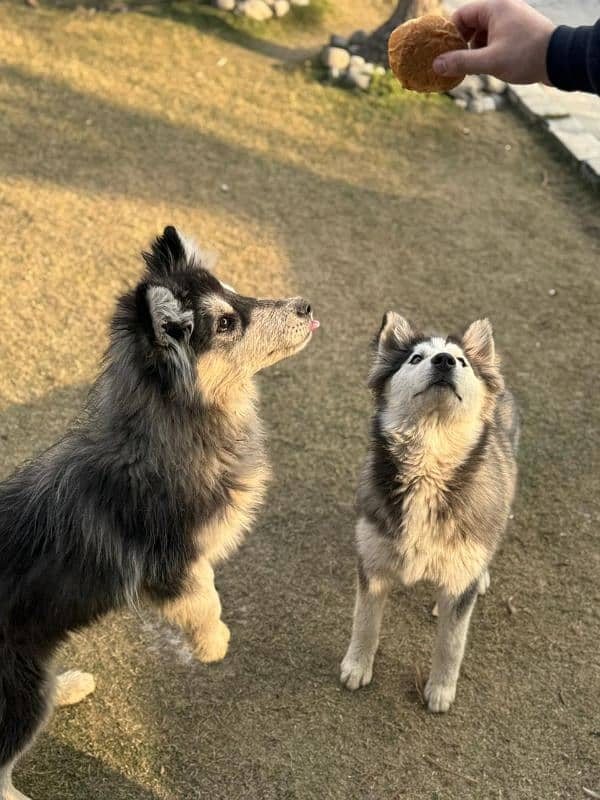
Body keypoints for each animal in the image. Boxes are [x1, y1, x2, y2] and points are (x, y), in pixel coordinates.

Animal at [0, 227, 318, 800]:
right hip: (16, 695)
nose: (306, 305)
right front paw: (213, 645)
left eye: (236, 291)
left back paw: (68, 685)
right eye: (226, 323)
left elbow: (208, 581)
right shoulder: (166, 565)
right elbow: (204, 598)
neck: (175, 430)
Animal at [340, 310, 516, 712]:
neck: (427, 465)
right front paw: (357, 666)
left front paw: (440, 690)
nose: (445, 360)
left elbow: (451, 644)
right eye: (415, 358)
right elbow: (365, 622)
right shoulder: (371, 563)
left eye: (462, 362)